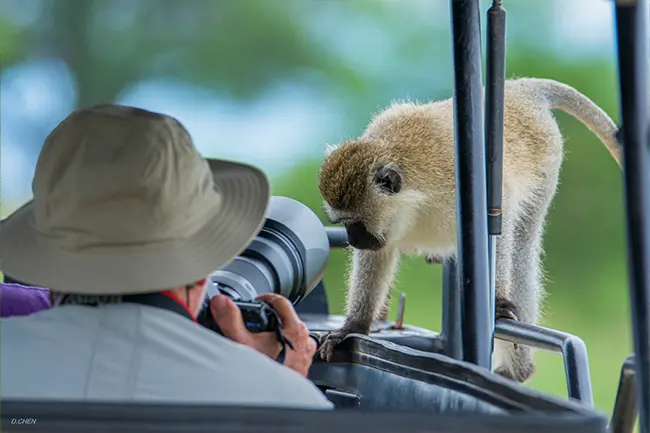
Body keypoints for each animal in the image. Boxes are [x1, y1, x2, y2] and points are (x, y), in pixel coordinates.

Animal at [316, 77, 620, 382]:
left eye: (356, 223)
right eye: (343, 223)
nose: (353, 239)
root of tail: (519, 89)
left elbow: (499, 222)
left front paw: (498, 302)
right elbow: (377, 256)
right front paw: (354, 326)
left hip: (546, 165)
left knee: (522, 249)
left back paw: (518, 370)